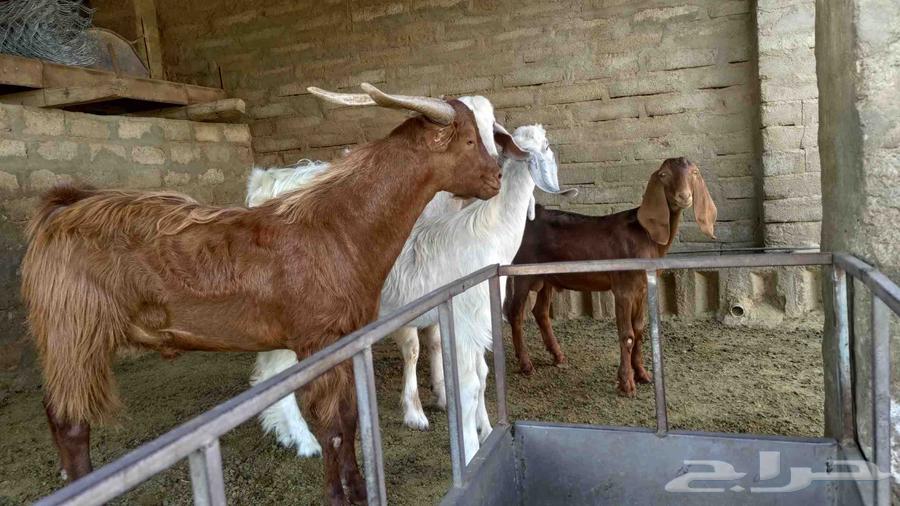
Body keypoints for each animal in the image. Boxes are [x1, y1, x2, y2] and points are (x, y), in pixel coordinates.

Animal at [21, 83, 503, 505]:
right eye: (467, 139)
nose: (497, 176)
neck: (338, 228)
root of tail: (59, 212)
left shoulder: (344, 339)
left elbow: (349, 418)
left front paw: (360, 490)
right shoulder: (316, 339)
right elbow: (331, 425)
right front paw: (338, 496)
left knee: (55, 411)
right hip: (74, 330)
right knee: (70, 420)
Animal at [250, 124, 573, 463]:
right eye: (547, 146)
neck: (489, 232)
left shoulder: (478, 325)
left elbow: (483, 375)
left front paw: (485, 431)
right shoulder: (463, 321)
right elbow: (469, 386)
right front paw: (471, 450)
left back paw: (285, 431)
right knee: (275, 371)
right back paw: (303, 440)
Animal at [504, 157, 717, 397]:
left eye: (695, 173)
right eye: (663, 175)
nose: (684, 196)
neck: (645, 235)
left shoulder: (642, 289)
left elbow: (639, 329)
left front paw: (642, 374)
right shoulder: (623, 288)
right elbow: (627, 334)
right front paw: (627, 383)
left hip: (547, 278)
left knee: (540, 312)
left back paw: (558, 356)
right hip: (523, 273)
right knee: (515, 313)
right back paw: (525, 364)